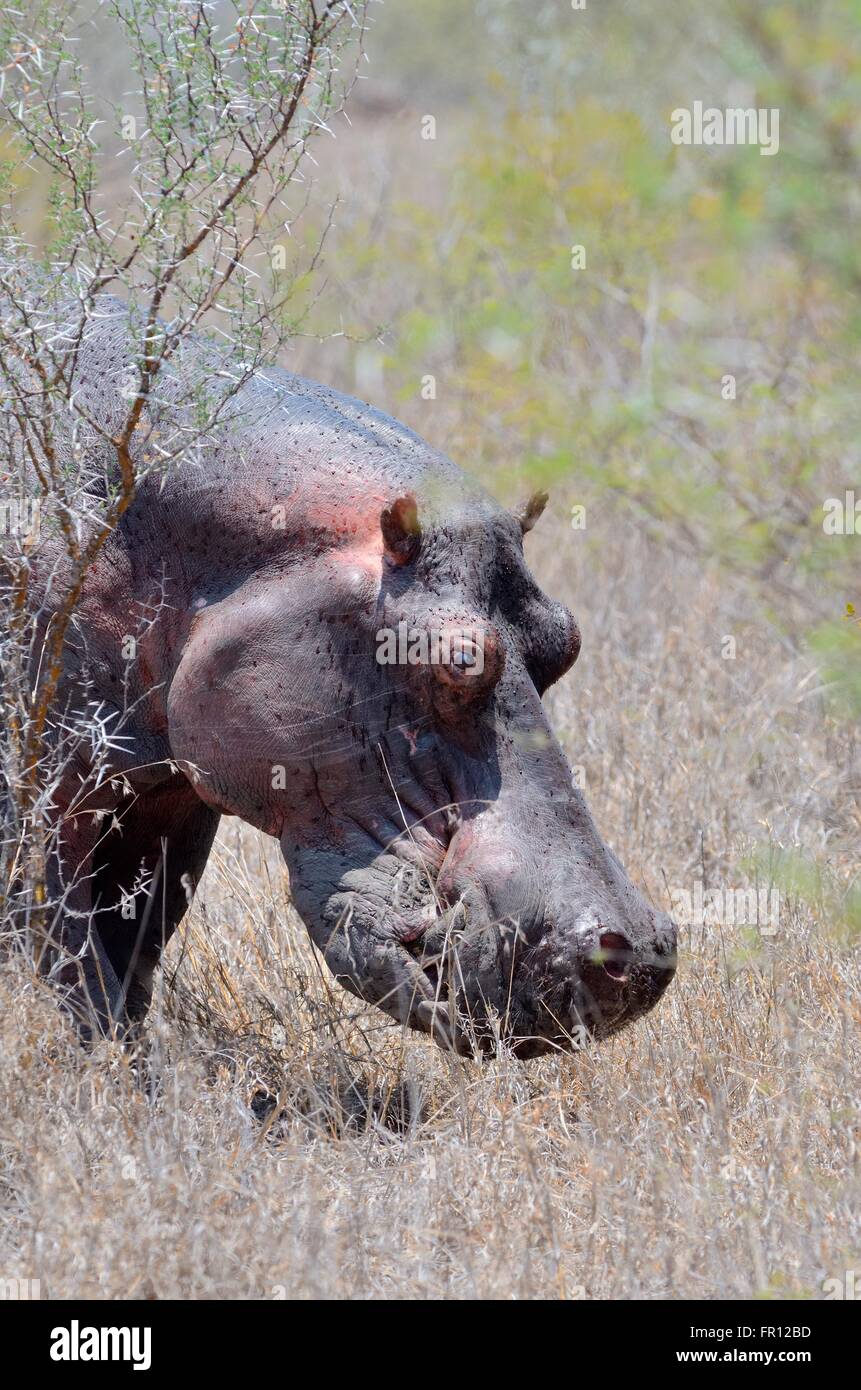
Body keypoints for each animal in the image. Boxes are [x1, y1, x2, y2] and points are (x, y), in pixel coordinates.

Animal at [21, 294, 677, 1057]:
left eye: (565, 640)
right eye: (459, 659)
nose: (637, 953)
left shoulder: (167, 805)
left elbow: (132, 954)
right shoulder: (36, 795)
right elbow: (71, 960)